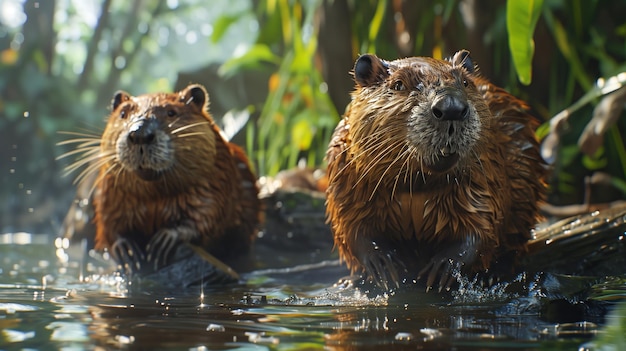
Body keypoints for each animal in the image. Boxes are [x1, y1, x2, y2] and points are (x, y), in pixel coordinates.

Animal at [62, 84, 260, 274]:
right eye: (123, 113)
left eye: (171, 112)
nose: (139, 134)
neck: (154, 197)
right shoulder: (110, 191)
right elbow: (108, 223)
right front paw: (127, 251)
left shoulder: (216, 178)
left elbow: (208, 214)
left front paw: (164, 241)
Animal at [324, 49, 544, 292]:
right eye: (399, 84)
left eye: (465, 82)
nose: (451, 108)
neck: (417, 184)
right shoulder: (346, 169)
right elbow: (351, 225)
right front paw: (385, 267)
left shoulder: (484, 172)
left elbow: (483, 223)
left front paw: (442, 271)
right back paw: (349, 280)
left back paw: (491, 275)